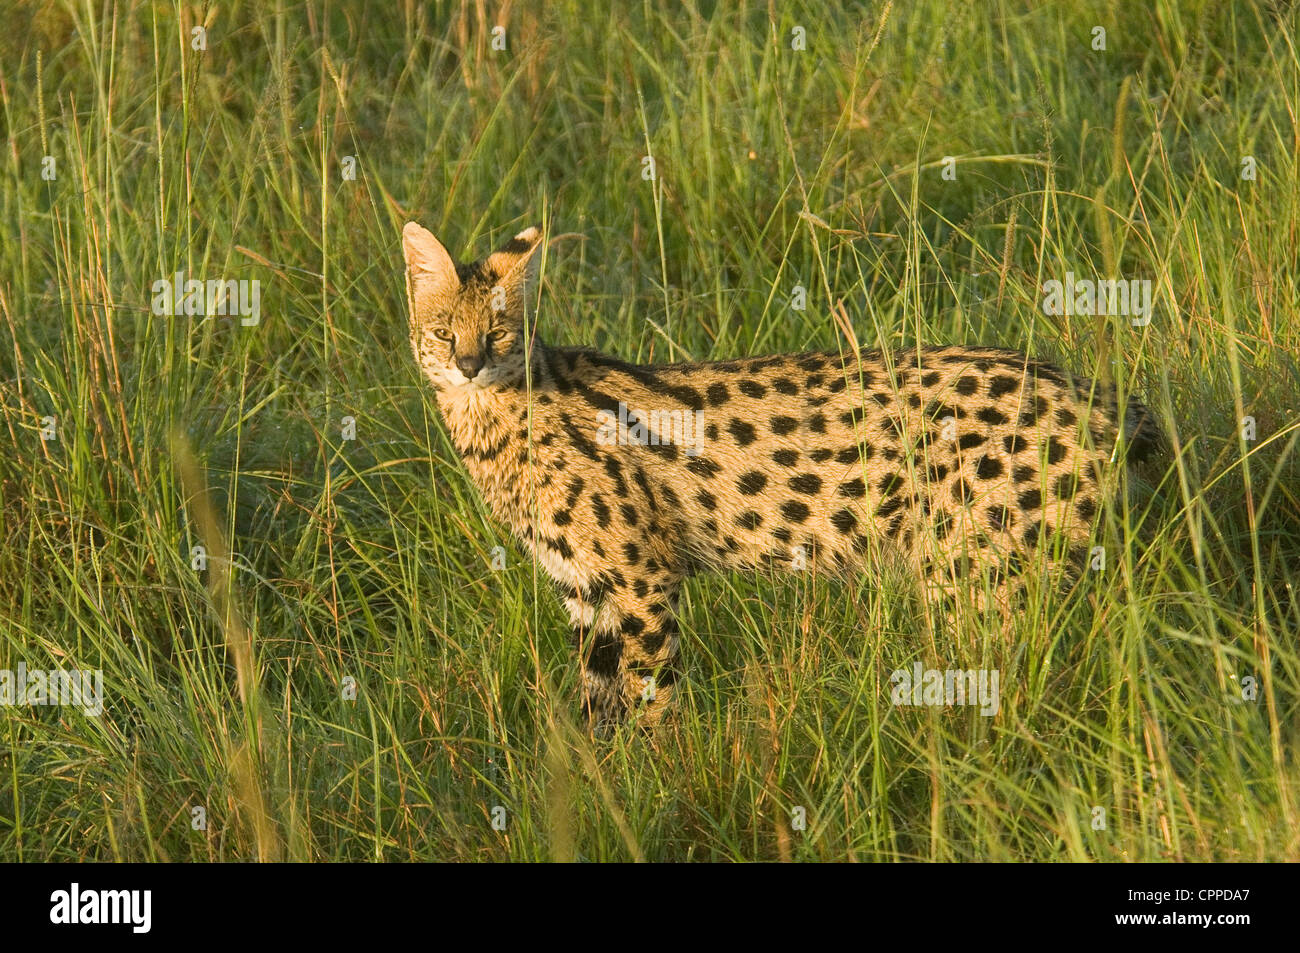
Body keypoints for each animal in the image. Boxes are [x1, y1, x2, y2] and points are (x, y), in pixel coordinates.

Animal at [400, 221, 1164, 728]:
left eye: (498, 332)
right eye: (443, 332)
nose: (467, 364)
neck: (499, 413)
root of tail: (1095, 391)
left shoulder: (642, 578)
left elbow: (652, 695)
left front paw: (659, 787)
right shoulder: (586, 592)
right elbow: (597, 705)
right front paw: (601, 793)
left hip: (975, 575)